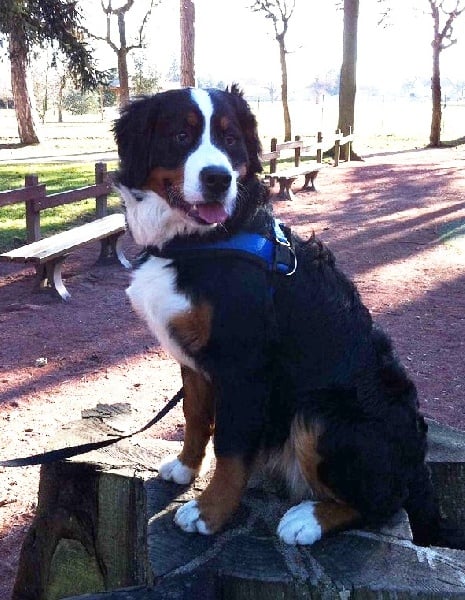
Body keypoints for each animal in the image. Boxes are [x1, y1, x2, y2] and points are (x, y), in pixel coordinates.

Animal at [114, 85, 443, 547]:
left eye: (230, 139)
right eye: (180, 136)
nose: (218, 179)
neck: (196, 242)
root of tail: (417, 466)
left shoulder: (244, 365)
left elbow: (231, 447)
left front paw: (209, 512)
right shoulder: (194, 361)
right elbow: (195, 417)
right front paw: (185, 467)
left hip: (319, 413)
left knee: (383, 502)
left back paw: (308, 519)